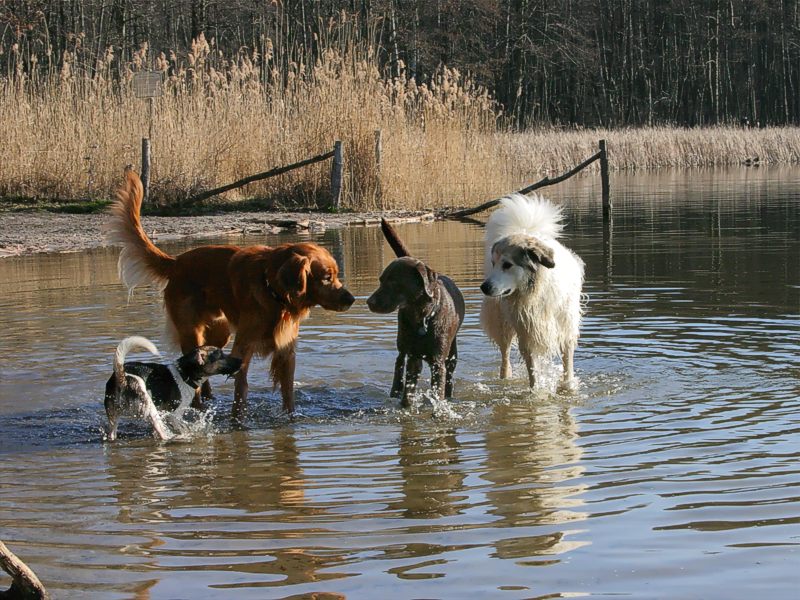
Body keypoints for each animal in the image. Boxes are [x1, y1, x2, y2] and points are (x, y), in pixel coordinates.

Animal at [104, 338, 241, 440]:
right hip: (151, 410)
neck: (184, 374)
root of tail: (122, 378)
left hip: (113, 417)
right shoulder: (173, 415)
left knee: (112, 434)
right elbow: (183, 426)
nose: (241, 361)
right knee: (163, 434)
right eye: (221, 355)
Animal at [108, 169, 354, 422]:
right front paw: (238, 421)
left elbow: (288, 392)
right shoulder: (243, 347)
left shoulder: (286, 352)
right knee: (193, 373)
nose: (351, 299)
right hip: (191, 332)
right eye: (326, 277)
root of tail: (176, 262)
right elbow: (241, 388)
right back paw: (199, 407)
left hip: (220, 332)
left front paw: (290, 419)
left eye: (335, 275)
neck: (274, 295)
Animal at [368, 220, 466, 408]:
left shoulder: (438, 362)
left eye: (393, 282)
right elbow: (408, 390)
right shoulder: (413, 357)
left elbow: (439, 391)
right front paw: (405, 406)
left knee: (450, 375)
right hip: (402, 343)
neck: (422, 318)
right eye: (381, 280)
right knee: (399, 363)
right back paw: (395, 391)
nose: (369, 302)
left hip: (452, 353)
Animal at [478, 192, 584, 390]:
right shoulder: (528, 334)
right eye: (494, 264)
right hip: (502, 324)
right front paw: (536, 392)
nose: (484, 287)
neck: (536, 293)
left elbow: (567, 365)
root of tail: (526, 230)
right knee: (505, 355)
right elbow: (533, 371)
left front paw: (568, 386)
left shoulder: (565, 329)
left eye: (507, 264)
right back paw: (505, 378)